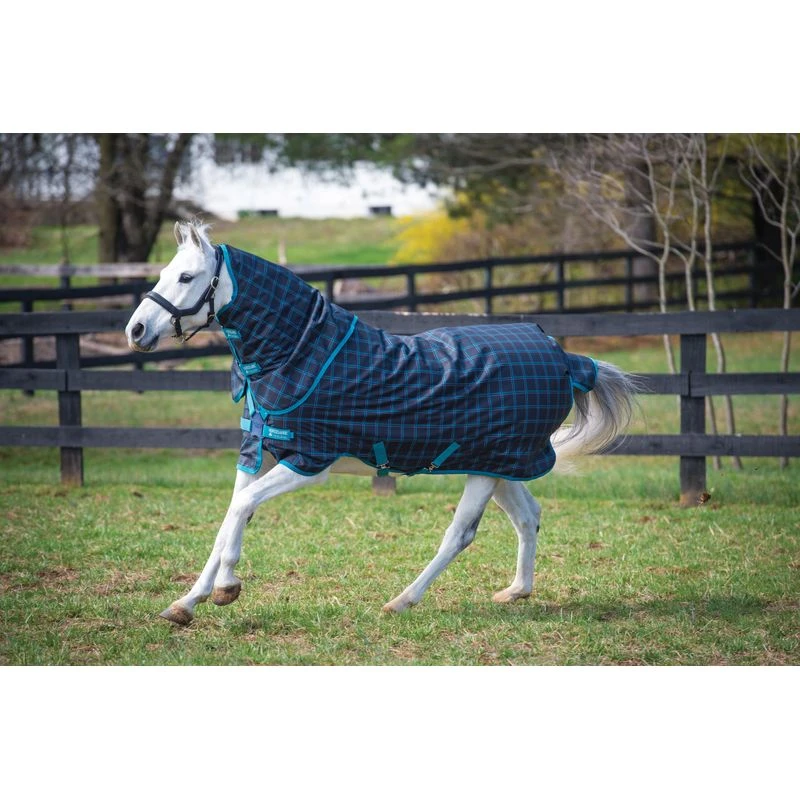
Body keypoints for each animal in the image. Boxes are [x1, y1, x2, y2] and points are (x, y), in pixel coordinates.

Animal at [126, 221, 638, 626]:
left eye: (187, 276)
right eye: (163, 274)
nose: (136, 331)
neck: (301, 353)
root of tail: (566, 358)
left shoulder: (310, 461)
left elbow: (242, 508)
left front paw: (227, 588)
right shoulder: (261, 451)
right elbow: (231, 516)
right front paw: (186, 603)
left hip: (488, 468)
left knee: (460, 534)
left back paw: (402, 601)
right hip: (498, 466)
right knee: (528, 517)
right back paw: (515, 591)